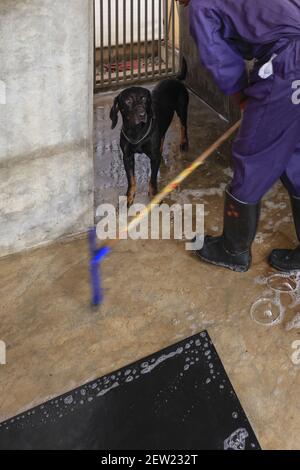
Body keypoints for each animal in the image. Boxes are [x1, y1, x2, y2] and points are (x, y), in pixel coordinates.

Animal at [110, 78, 189, 206]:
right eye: (128, 101)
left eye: (144, 98)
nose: (142, 114)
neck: (137, 131)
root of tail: (174, 79)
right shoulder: (127, 157)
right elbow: (131, 179)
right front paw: (129, 197)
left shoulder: (154, 158)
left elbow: (152, 179)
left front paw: (154, 195)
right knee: (163, 135)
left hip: (182, 109)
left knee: (183, 126)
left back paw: (184, 142)